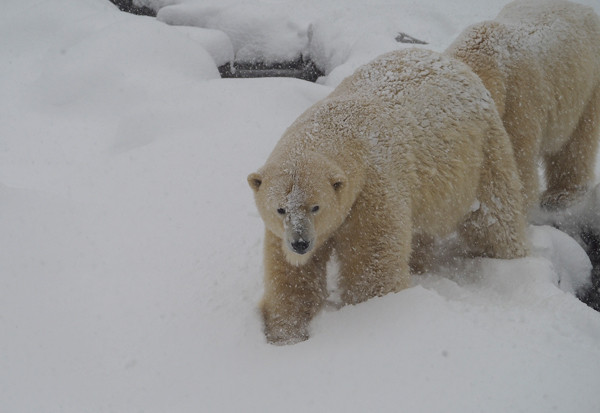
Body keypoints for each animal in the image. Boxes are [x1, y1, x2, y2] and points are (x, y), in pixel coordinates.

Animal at [246, 49, 528, 344]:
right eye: (280, 209)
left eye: (316, 207)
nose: (300, 243)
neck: (341, 128)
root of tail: (457, 65)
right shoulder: (283, 232)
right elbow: (292, 275)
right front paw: (284, 333)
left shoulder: (371, 191)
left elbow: (371, 267)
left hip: (481, 153)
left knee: (493, 215)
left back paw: (503, 260)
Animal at [446, 0, 600, 211]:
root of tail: (583, 8)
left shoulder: (518, 103)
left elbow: (517, 164)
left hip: (587, 84)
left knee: (576, 143)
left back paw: (561, 193)